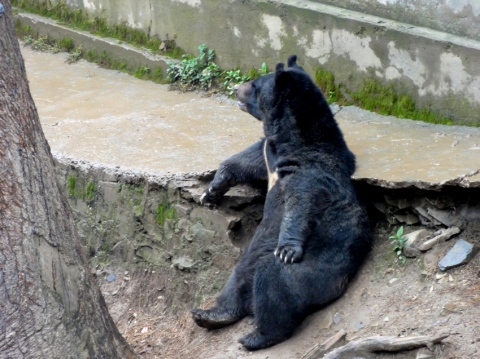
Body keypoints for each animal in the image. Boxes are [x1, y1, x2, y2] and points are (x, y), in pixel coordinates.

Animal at [191, 55, 372, 352]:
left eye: (254, 84)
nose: (236, 89)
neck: (291, 138)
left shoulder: (311, 168)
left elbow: (301, 199)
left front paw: (288, 248)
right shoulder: (270, 154)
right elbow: (245, 161)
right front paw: (211, 191)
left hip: (311, 274)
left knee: (272, 284)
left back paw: (257, 336)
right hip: (250, 258)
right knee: (237, 279)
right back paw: (211, 314)